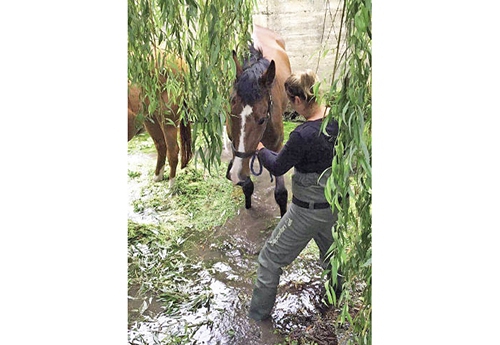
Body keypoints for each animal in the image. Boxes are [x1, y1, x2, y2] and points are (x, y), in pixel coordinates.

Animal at [128, 57, 192, 189]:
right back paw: (158, 176)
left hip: (167, 119)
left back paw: (171, 186)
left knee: (173, 150)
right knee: (161, 145)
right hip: (150, 118)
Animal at [226, 25, 292, 216]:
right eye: (231, 114)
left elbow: (281, 193)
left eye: (262, 119)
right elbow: (247, 184)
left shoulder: (277, 148)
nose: (235, 174)